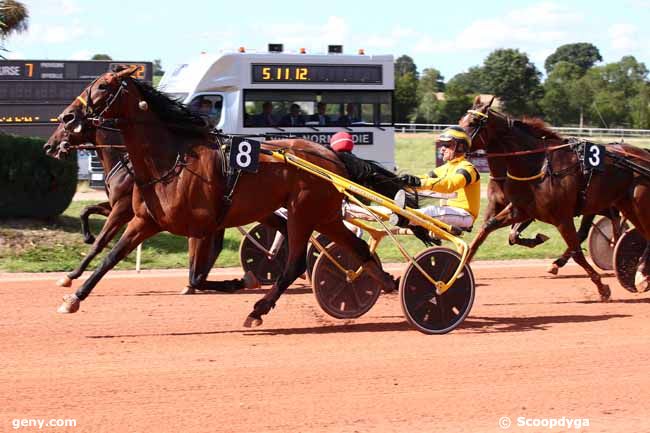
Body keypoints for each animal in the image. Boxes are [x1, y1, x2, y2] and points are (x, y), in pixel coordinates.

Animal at [46, 66, 394, 326]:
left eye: (104, 86)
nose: (65, 119)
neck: (169, 160)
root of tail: (331, 156)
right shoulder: (144, 220)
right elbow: (109, 256)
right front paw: (73, 296)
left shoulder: (197, 226)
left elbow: (196, 276)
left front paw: (242, 282)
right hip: (321, 215)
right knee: (358, 248)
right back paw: (380, 281)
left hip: (304, 213)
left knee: (296, 262)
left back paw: (259, 308)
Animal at [456, 96, 648, 296]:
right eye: (461, 120)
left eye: (473, 122)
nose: (450, 143)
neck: (538, 166)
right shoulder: (519, 209)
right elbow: (487, 230)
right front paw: (458, 271)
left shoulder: (561, 217)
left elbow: (577, 252)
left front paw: (602, 287)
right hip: (621, 205)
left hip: (635, 205)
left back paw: (639, 275)